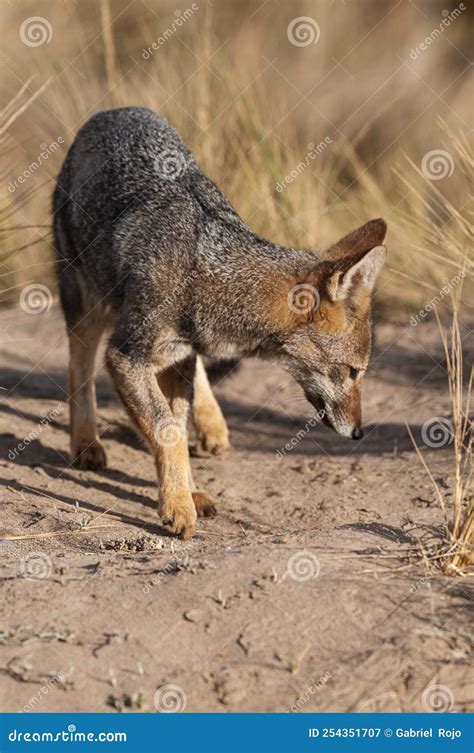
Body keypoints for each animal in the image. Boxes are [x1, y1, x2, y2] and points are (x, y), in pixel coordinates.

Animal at [52, 107, 386, 540]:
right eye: (352, 371)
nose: (360, 432)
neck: (210, 274)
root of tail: (115, 110)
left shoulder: (179, 357)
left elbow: (176, 422)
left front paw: (187, 492)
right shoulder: (125, 355)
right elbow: (167, 429)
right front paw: (178, 505)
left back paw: (211, 426)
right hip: (85, 305)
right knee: (78, 366)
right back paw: (86, 443)